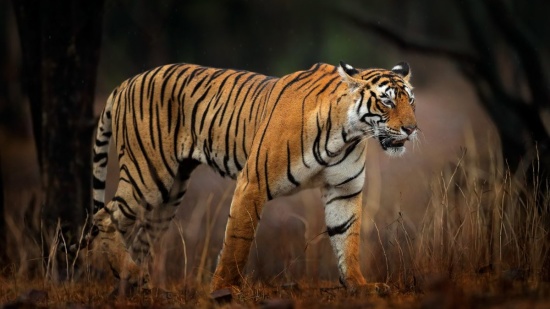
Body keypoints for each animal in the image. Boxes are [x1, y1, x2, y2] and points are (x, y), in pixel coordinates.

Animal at [89, 59, 418, 294]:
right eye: (387, 101)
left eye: (411, 101)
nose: (412, 129)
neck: (347, 135)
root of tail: (126, 82)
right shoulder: (253, 182)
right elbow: (238, 238)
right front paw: (224, 290)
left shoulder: (344, 189)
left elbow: (347, 239)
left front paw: (358, 285)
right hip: (148, 174)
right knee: (104, 215)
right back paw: (130, 275)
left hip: (171, 192)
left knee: (138, 235)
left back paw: (133, 283)